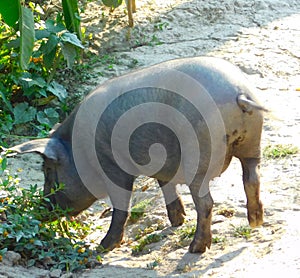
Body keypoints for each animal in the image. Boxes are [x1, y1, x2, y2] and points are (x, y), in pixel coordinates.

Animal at [9, 57, 264, 254]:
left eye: (48, 169)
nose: (40, 210)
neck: (78, 150)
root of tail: (239, 93)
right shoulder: (162, 165)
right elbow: (166, 186)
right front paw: (177, 221)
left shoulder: (113, 167)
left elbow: (122, 206)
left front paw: (102, 248)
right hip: (253, 144)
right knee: (251, 179)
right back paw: (256, 222)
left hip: (198, 153)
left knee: (206, 202)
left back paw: (196, 248)